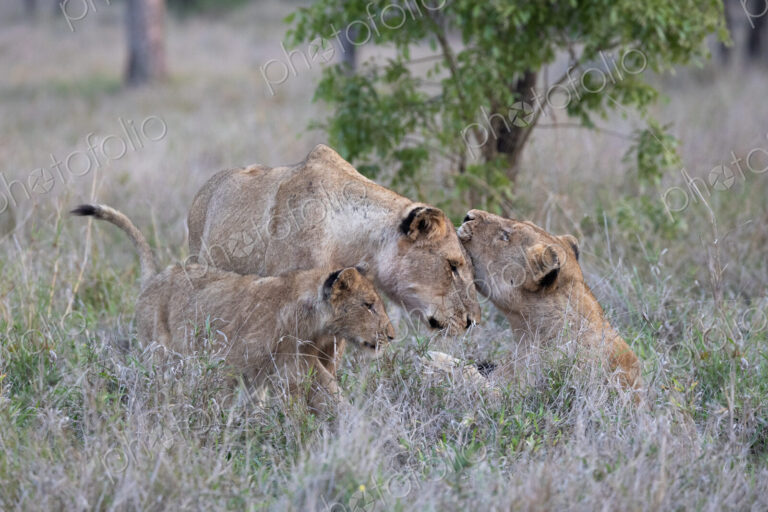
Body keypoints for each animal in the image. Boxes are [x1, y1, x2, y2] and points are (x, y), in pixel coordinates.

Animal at [72, 204, 395, 412]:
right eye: (368, 305)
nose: (391, 336)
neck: (309, 320)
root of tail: (155, 277)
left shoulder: (299, 367)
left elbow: (332, 397)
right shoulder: (229, 364)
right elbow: (222, 402)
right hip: (160, 355)